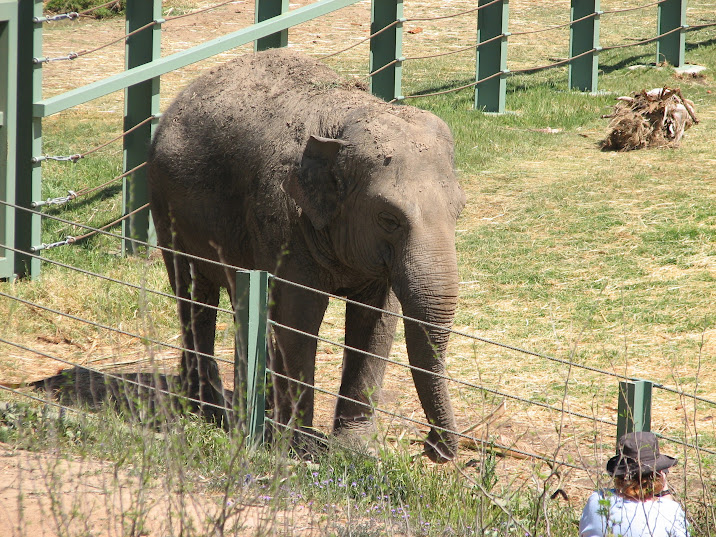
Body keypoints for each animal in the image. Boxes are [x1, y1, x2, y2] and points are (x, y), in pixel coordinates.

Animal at [147, 49, 465, 462]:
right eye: (389, 219)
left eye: (460, 210)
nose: (430, 448)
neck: (344, 120)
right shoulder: (282, 216)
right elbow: (300, 315)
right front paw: (302, 450)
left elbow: (376, 321)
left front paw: (356, 450)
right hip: (162, 201)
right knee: (190, 290)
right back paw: (208, 407)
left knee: (232, 294)